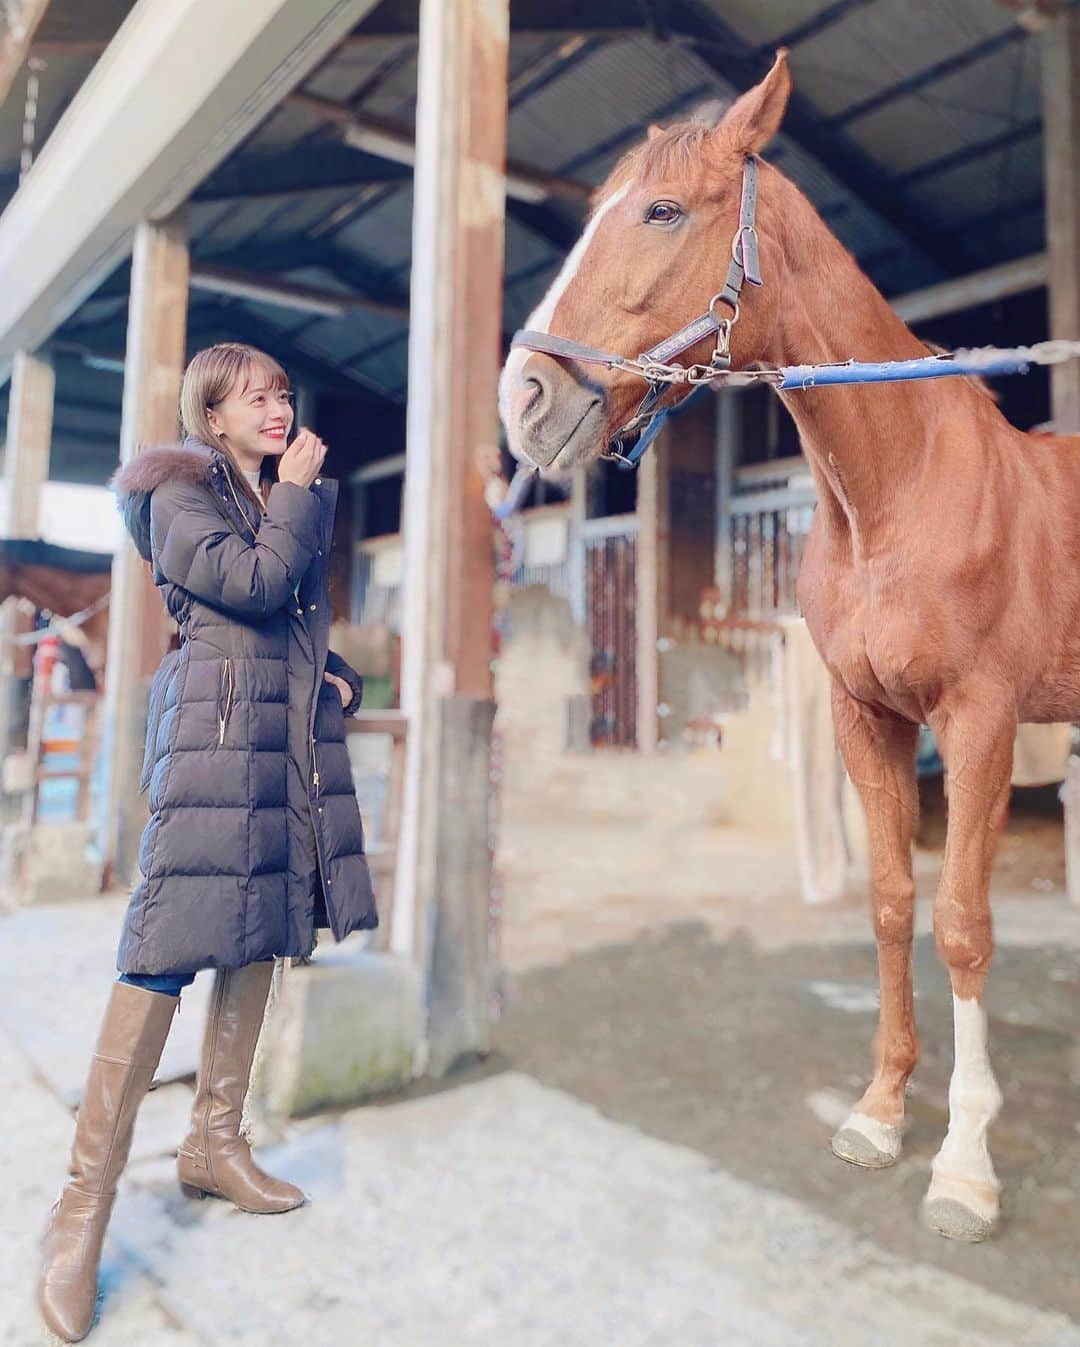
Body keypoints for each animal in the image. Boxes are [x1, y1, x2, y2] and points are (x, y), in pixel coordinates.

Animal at [495, 47, 1066, 1239]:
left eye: (664, 209)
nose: (524, 401)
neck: (899, 488)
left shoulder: (981, 725)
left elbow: (962, 923)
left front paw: (965, 1166)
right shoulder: (865, 718)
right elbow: (891, 904)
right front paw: (882, 1112)